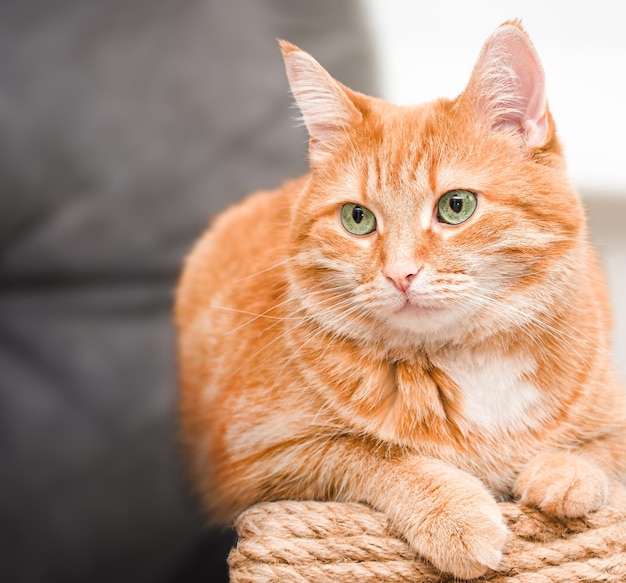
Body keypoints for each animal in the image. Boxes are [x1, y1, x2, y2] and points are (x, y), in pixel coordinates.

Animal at [176, 21, 624, 580]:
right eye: (357, 218)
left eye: (457, 206)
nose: (400, 273)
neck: (468, 360)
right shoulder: (251, 467)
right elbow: (367, 454)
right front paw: (452, 510)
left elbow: (603, 450)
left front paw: (567, 470)